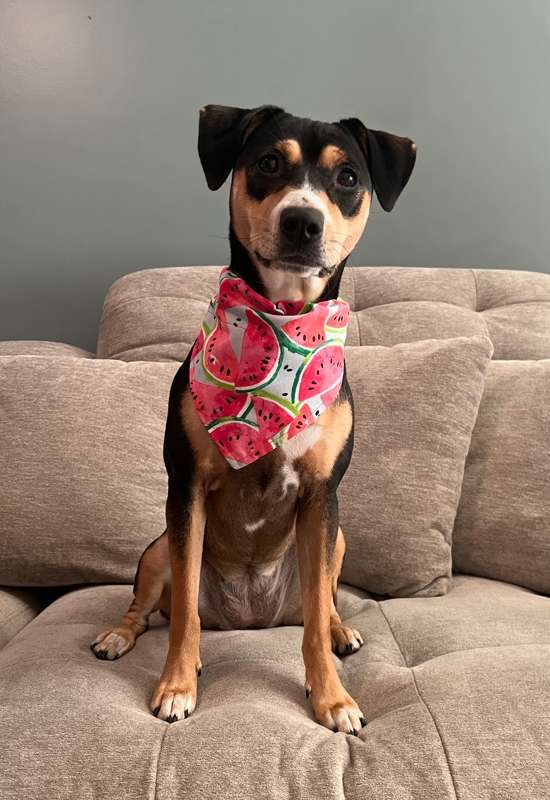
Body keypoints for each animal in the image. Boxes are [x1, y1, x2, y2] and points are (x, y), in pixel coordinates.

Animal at [91, 103, 418, 736]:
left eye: (348, 178)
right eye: (268, 163)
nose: (302, 222)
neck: (283, 317)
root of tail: (250, 616)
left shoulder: (321, 495)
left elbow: (314, 615)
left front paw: (332, 697)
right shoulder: (186, 487)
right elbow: (185, 613)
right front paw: (176, 684)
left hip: (336, 540)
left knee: (326, 598)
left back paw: (341, 629)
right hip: (158, 546)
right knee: (150, 607)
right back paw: (119, 636)